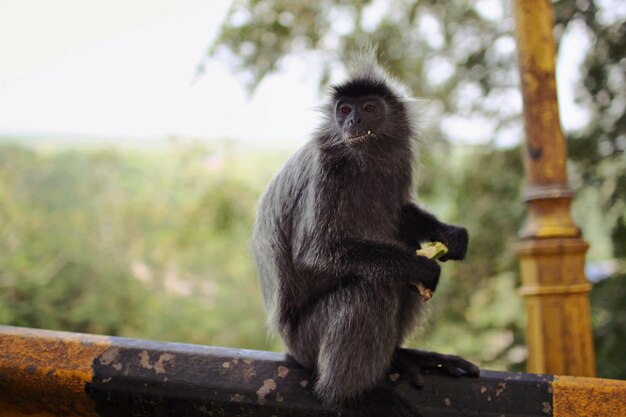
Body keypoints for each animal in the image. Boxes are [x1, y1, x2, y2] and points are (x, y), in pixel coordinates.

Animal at [251, 49, 476, 412]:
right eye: (344, 110)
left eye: (369, 108)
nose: (352, 122)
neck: (363, 158)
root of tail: (289, 347)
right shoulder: (327, 168)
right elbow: (316, 255)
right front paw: (420, 266)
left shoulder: (399, 159)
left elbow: (401, 214)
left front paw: (448, 234)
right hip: (307, 341)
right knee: (372, 286)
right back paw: (353, 396)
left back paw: (401, 356)